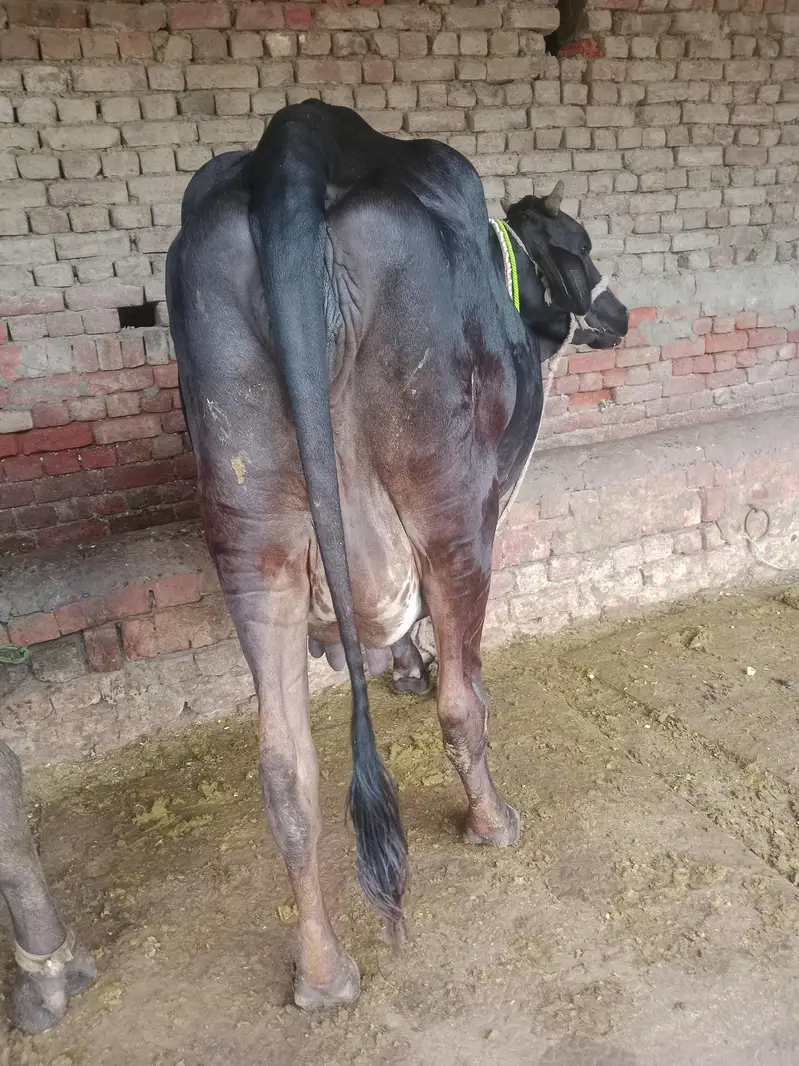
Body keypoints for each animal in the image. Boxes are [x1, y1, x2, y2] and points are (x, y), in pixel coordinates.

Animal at [0, 99, 627, 1030]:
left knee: (284, 769)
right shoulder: (489, 498)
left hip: (248, 527)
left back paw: (322, 972)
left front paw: (391, 663)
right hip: (446, 502)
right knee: (460, 701)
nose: (618, 314)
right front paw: (413, 668)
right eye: (577, 243)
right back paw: (490, 819)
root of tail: (292, 146)